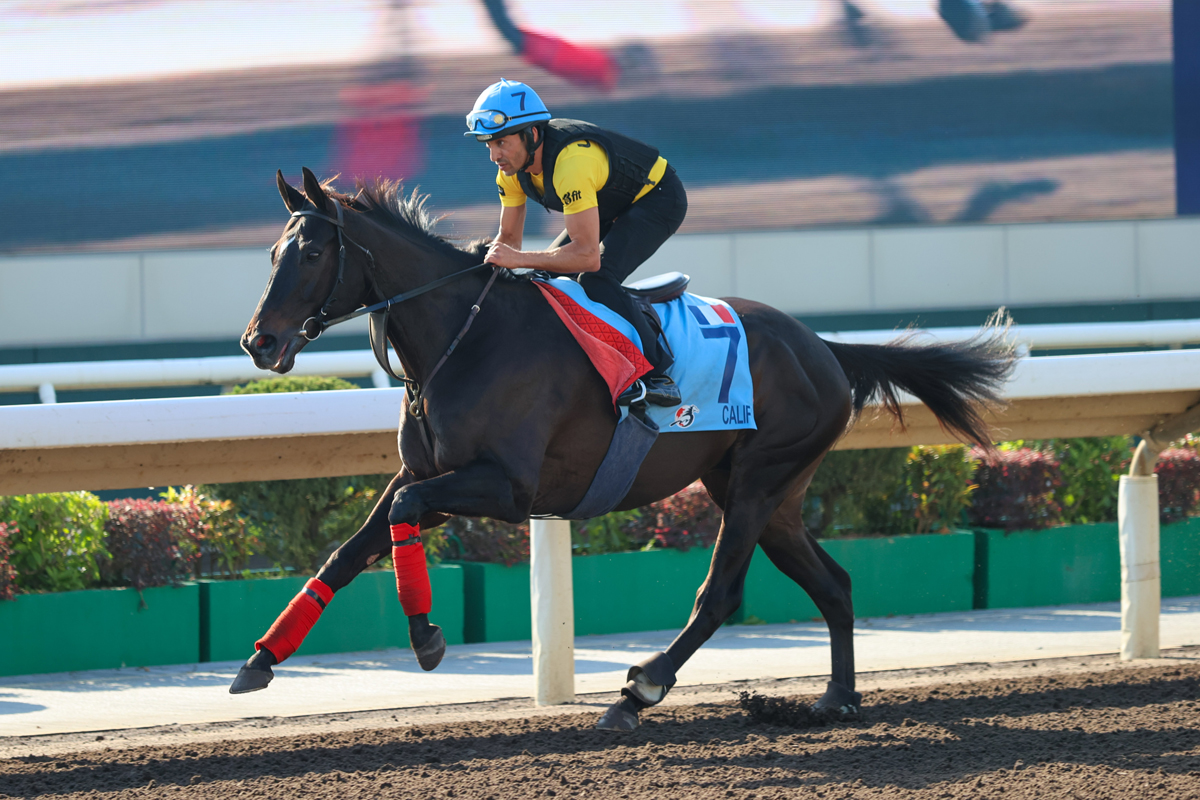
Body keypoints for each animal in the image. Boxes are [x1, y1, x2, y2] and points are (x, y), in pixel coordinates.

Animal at [231, 167, 1012, 734]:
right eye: (271, 252)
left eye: (311, 252)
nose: (258, 342)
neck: (465, 338)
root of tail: (823, 346)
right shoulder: (423, 472)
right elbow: (348, 551)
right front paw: (261, 658)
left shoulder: (504, 487)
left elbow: (401, 521)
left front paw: (425, 636)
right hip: (769, 493)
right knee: (835, 585)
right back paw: (837, 699)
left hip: (761, 481)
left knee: (720, 593)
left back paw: (640, 690)